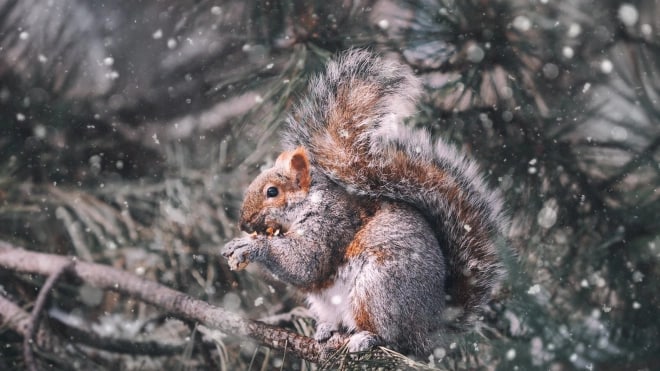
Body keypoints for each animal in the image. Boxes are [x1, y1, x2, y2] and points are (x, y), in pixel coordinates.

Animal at [224, 49, 508, 358]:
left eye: (272, 192)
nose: (243, 223)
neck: (310, 202)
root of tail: (434, 328)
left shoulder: (330, 224)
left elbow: (306, 263)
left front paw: (251, 246)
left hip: (378, 290)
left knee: (395, 338)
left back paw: (366, 338)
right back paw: (327, 329)